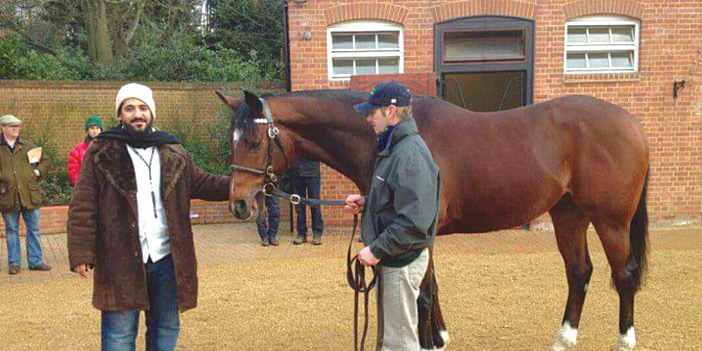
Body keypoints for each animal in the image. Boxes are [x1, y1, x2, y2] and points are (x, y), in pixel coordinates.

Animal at [219, 88, 648, 351]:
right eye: (232, 141)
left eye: (254, 142)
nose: (239, 203)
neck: (402, 139)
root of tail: (632, 124)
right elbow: (432, 288)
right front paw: (440, 336)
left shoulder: (417, 230)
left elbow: (423, 292)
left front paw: (429, 341)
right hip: (568, 213)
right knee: (579, 272)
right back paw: (563, 338)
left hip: (610, 221)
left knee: (623, 274)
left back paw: (625, 339)